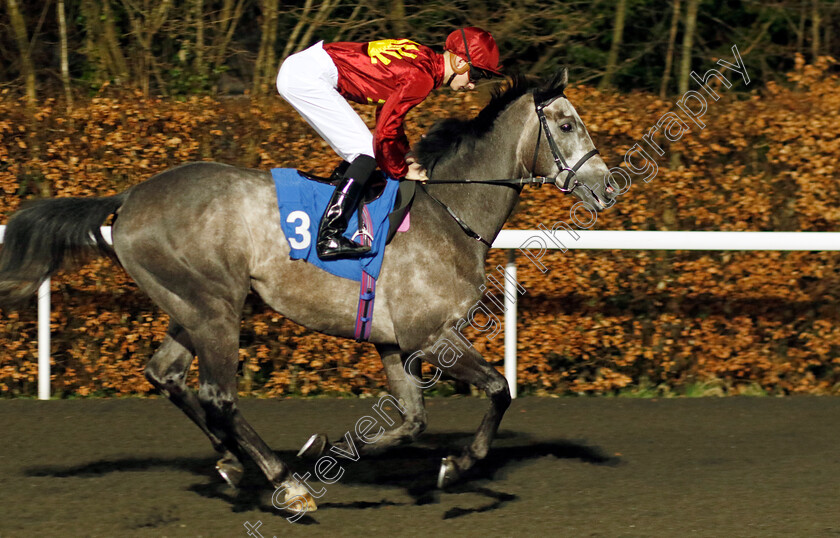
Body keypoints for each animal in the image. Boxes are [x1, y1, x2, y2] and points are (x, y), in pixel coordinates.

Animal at [1, 69, 616, 512]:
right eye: (566, 125)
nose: (608, 186)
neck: (450, 211)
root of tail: (129, 196)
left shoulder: (392, 342)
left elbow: (412, 420)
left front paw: (328, 448)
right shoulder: (430, 335)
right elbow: (498, 388)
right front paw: (456, 465)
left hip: (193, 307)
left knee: (165, 374)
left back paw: (231, 463)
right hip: (215, 308)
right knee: (217, 394)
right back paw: (284, 483)